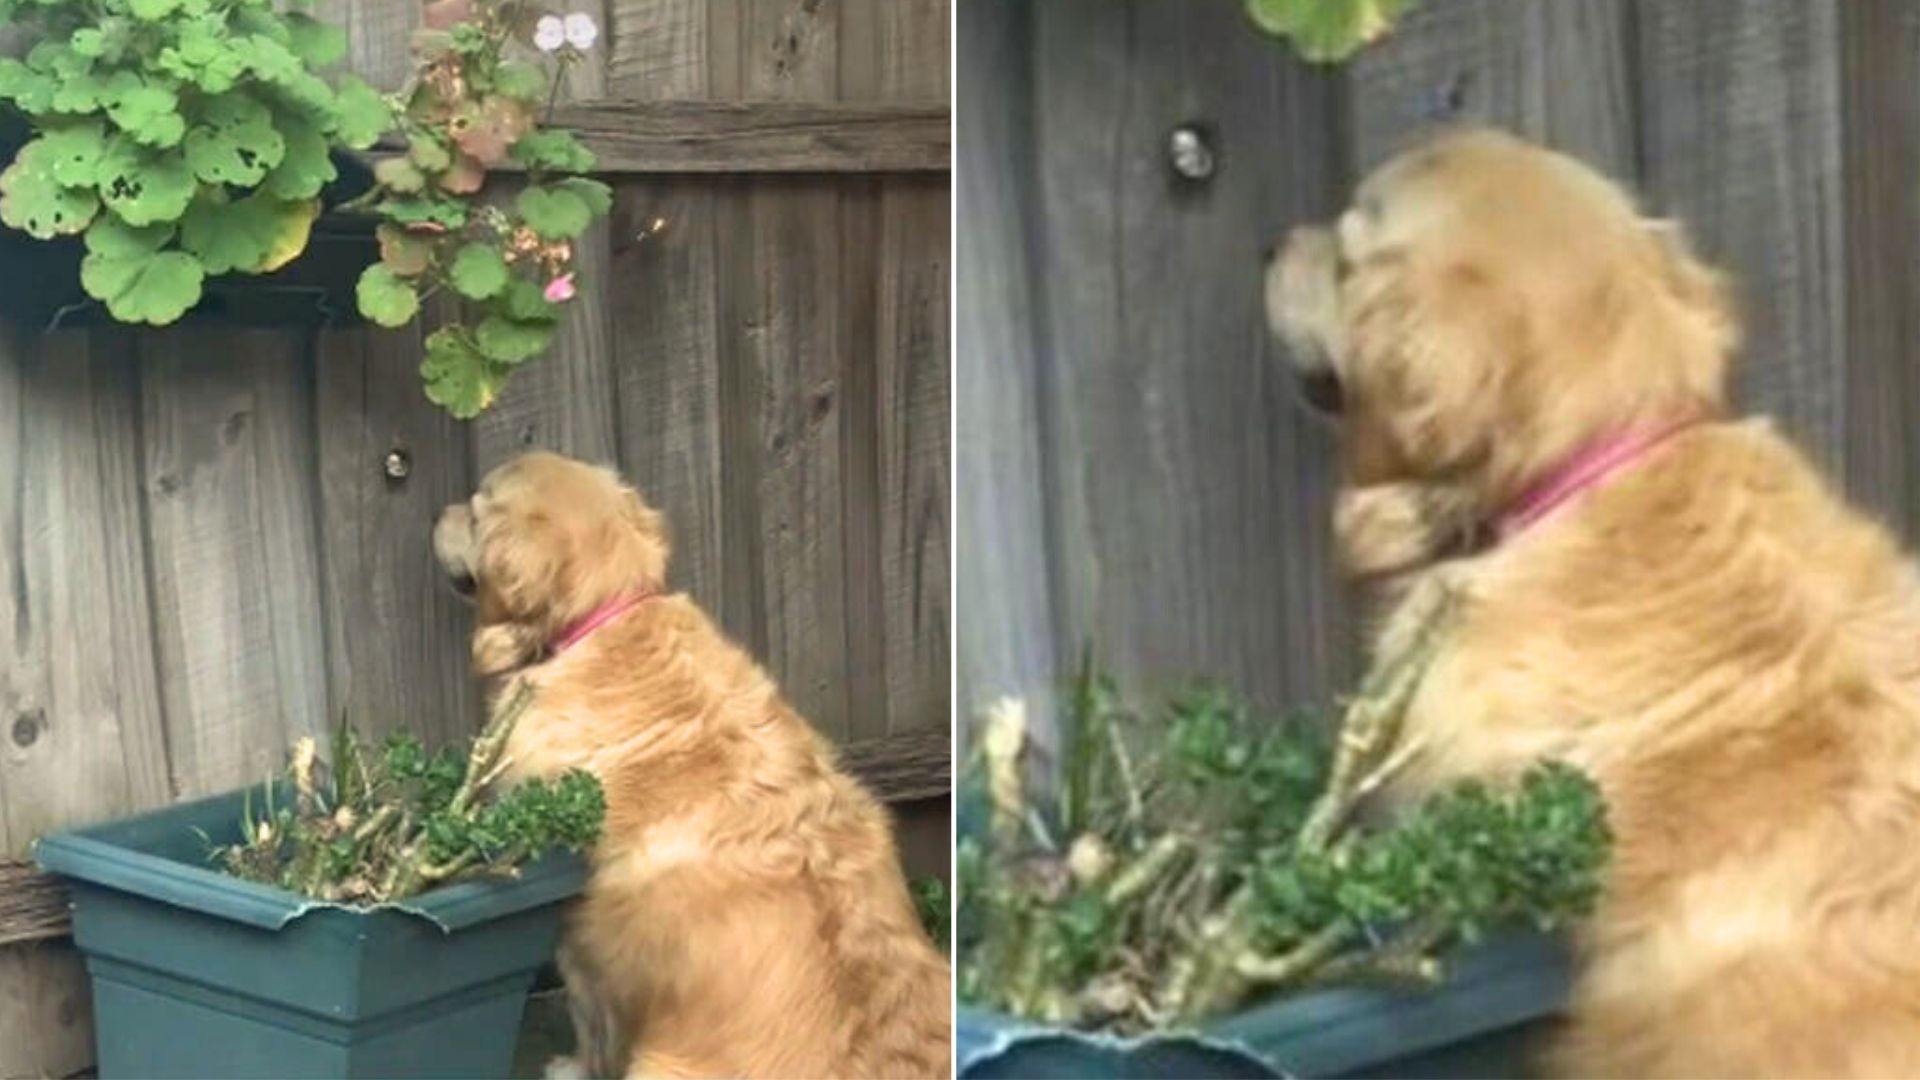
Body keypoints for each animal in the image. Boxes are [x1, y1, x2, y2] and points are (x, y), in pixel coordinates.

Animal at [432, 449, 948, 1068]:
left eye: (477, 508)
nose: (438, 511)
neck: (606, 616)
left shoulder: (581, 923)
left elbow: (589, 1017)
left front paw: (574, 1067)